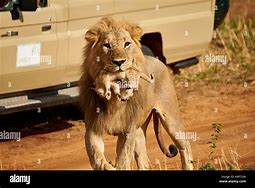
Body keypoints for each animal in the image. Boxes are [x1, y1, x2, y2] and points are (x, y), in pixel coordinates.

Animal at [79, 17, 193, 170]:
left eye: (126, 44)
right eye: (107, 45)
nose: (119, 62)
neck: (114, 100)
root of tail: (158, 59)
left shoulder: (128, 130)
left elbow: (123, 159)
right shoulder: (93, 128)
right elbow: (96, 156)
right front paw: (108, 166)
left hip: (170, 117)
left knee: (185, 145)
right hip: (140, 130)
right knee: (143, 160)